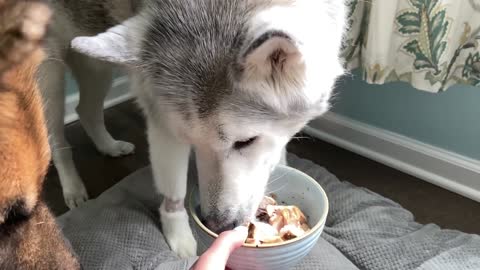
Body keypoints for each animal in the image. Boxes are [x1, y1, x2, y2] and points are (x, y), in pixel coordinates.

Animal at [53, 0, 344, 258]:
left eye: (245, 142)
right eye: (191, 142)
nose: (218, 226)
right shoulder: (162, 123)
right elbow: (173, 191)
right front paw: (179, 236)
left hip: (95, 67)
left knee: (86, 110)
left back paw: (109, 146)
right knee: (56, 140)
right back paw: (73, 188)